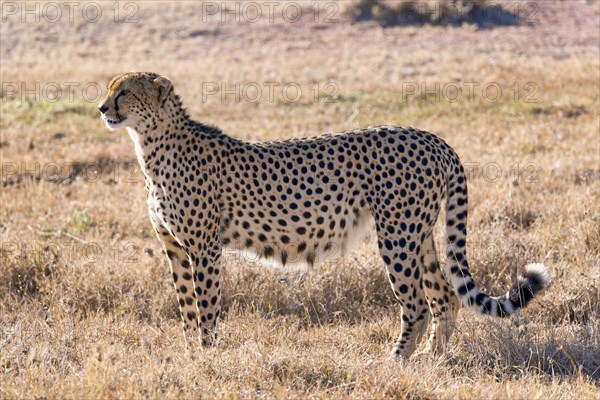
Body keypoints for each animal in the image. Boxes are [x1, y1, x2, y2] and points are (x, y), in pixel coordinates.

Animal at [97, 72, 548, 360]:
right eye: (109, 89)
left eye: (125, 92)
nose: (102, 108)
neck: (152, 145)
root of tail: (432, 138)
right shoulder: (175, 248)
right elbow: (187, 307)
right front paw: (190, 353)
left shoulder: (204, 248)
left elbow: (206, 306)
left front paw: (207, 357)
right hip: (419, 235)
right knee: (446, 296)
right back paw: (430, 360)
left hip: (397, 235)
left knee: (417, 303)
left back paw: (394, 361)